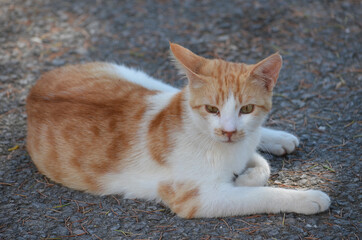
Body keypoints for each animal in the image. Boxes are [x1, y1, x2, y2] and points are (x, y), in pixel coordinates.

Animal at [26, 42, 330, 218]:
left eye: (246, 109)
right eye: (211, 109)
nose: (229, 131)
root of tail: (35, 87)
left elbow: (259, 162)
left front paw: (246, 173)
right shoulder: (196, 199)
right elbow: (261, 194)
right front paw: (307, 198)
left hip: (149, 83)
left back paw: (278, 138)